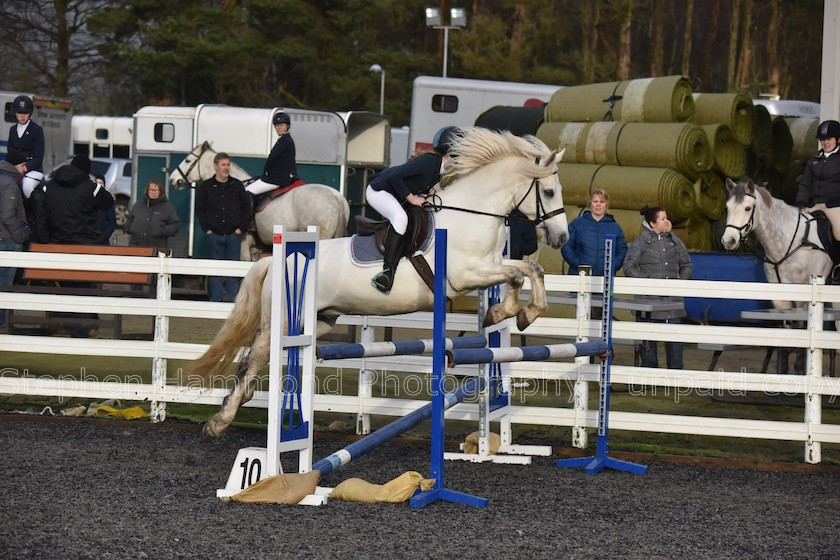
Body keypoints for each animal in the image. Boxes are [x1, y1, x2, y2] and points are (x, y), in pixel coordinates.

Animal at [191, 127, 572, 438]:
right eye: (549, 192)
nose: (562, 237)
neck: (473, 215)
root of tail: (273, 261)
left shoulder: (490, 264)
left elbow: (531, 268)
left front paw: (522, 314)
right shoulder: (464, 276)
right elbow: (517, 274)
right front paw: (504, 313)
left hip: (318, 320)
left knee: (262, 356)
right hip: (283, 319)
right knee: (253, 358)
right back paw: (220, 421)